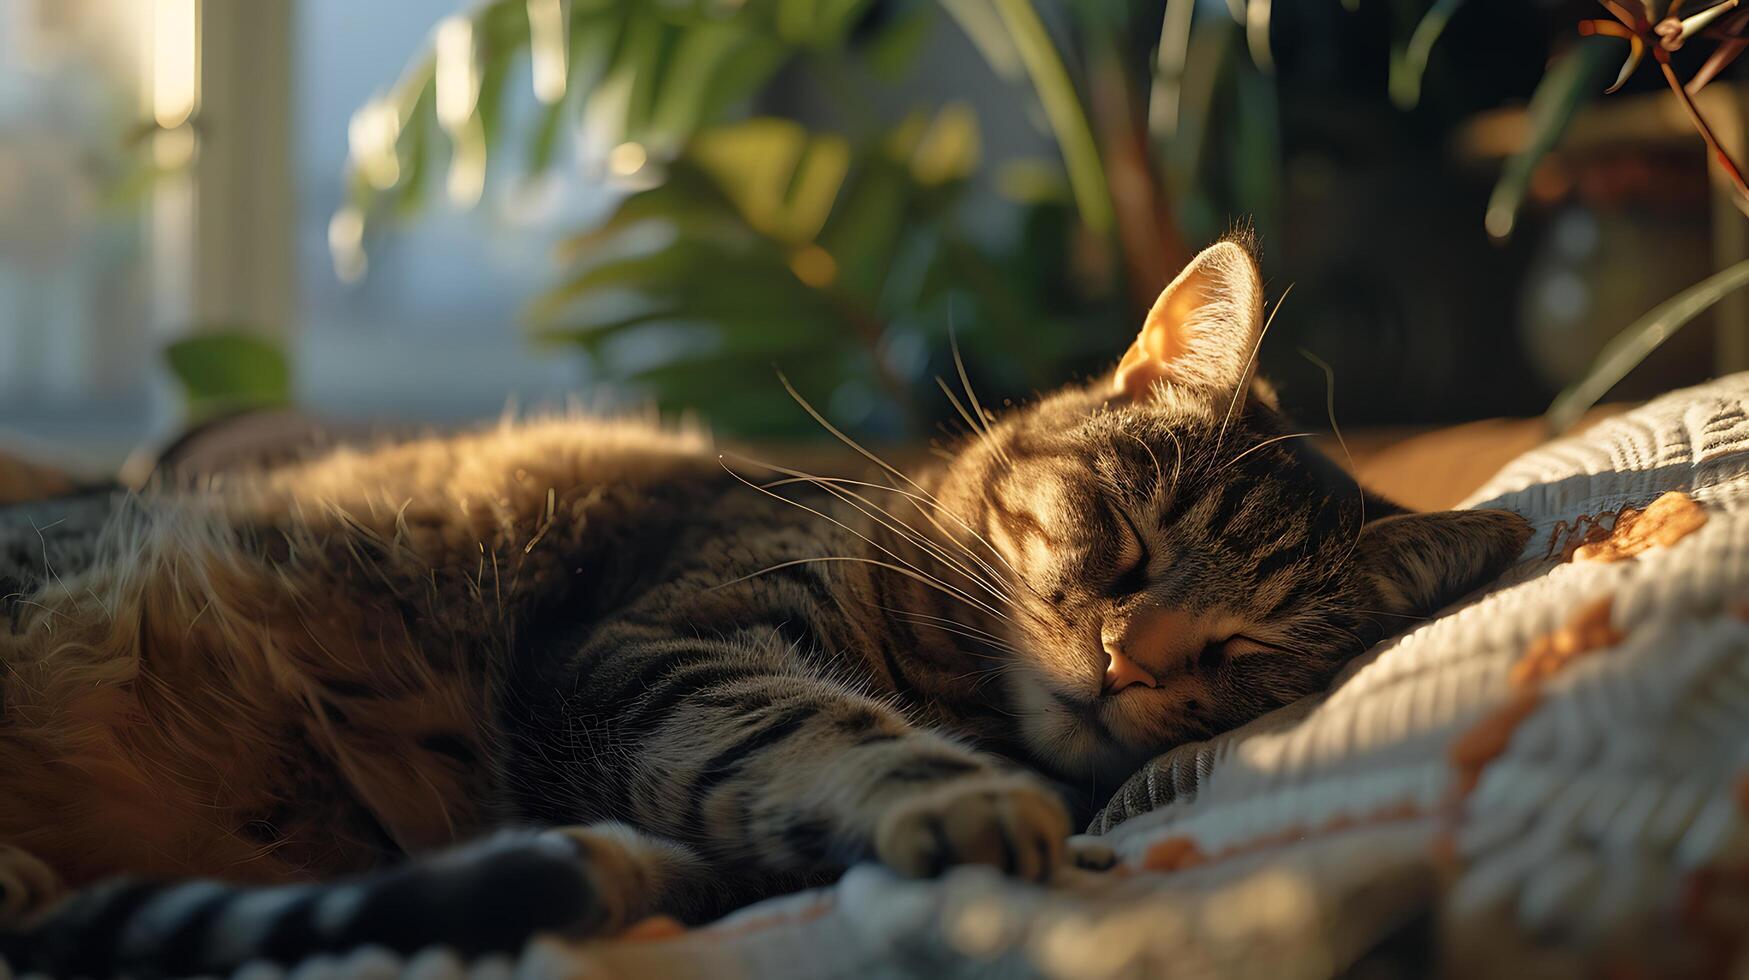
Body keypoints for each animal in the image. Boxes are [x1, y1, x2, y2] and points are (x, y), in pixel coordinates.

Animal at [0, 241, 1532, 973]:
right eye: (1126, 542)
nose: (1123, 663)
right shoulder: (646, 647)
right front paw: (966, 802)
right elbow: (805, 727)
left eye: (1246, 649)